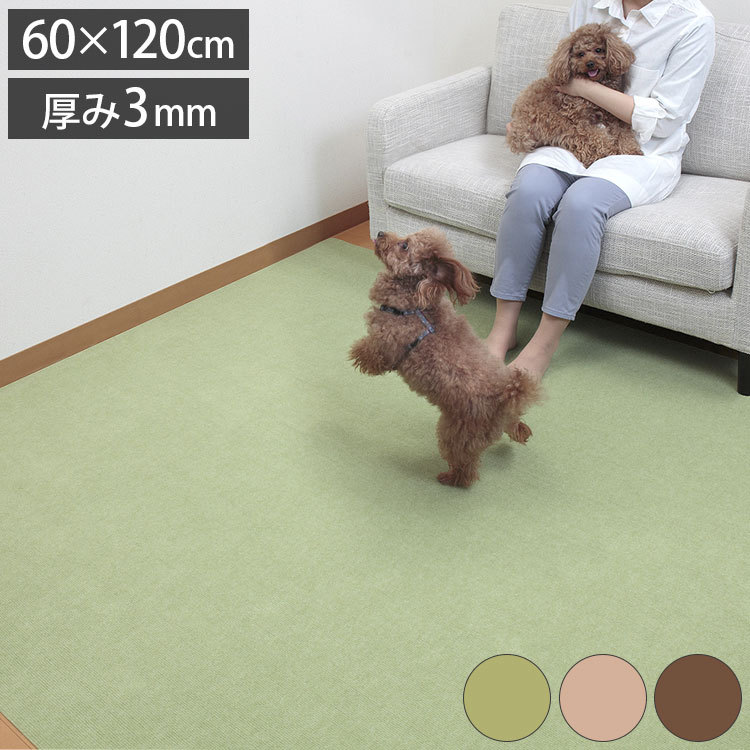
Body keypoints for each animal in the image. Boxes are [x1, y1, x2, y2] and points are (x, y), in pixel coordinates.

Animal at [349, 228, 540, 488]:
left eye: (405, 245)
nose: (379, 232)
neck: (415, 305)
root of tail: (506, 397)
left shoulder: (387, 343)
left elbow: (371, 354)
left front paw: (356, 355)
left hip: (456, 433)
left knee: (466, 469)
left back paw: (450, 478)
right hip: (498, 422)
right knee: (513, 428)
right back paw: (519, 430)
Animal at [507, 22, 642, 167]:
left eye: (598, 50)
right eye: (580, 54)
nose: (590, 63)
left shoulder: (613, 115)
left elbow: (623, 133)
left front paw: (631, 151)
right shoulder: (578, 120)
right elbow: (595, 136)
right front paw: (610, 150)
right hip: (554, 119)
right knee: (575, 140)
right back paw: (596, 156)